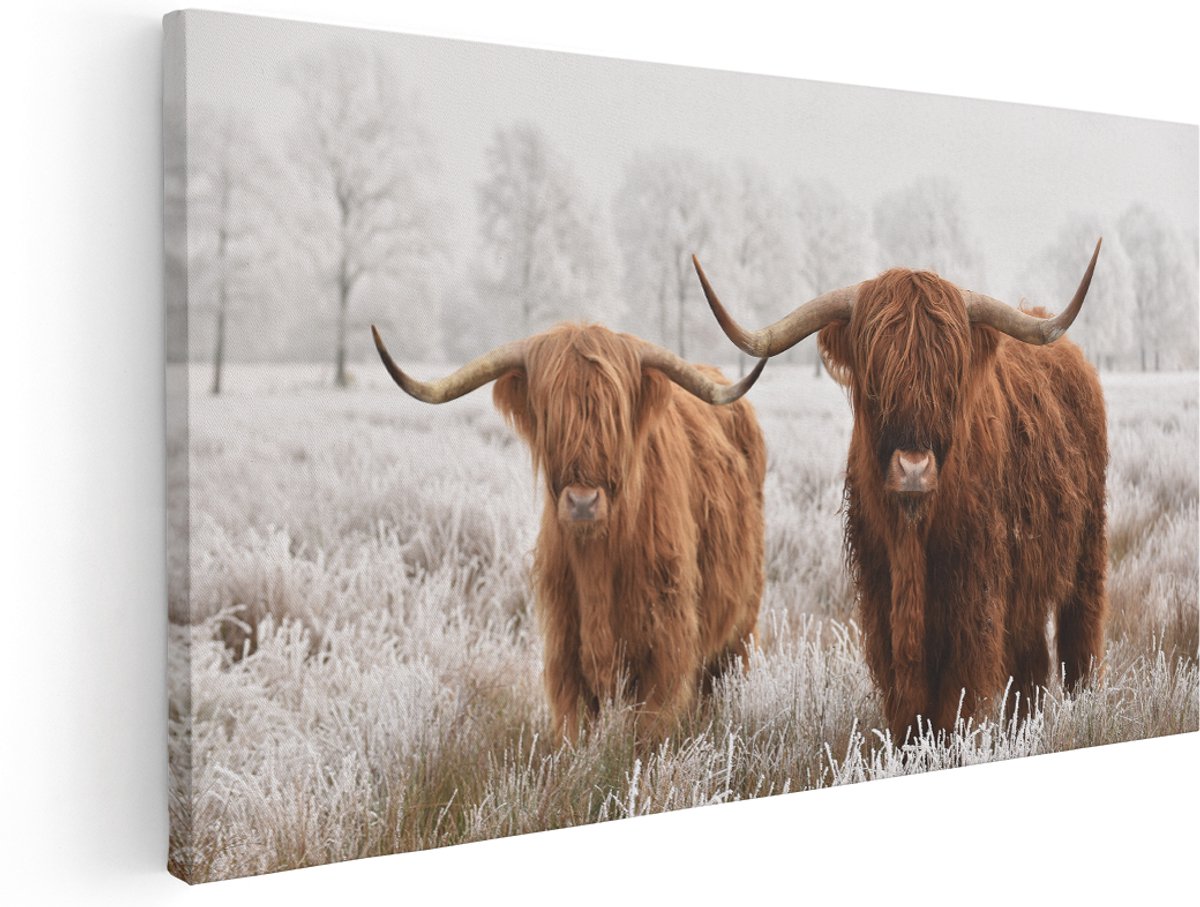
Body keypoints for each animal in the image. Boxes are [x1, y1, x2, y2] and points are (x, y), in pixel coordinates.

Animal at [372, 323, 768, 741]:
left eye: (615, 413)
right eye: (550, 413)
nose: (582, 502)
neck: (597, 559)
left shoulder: (665, 646)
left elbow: (649, 730)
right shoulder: (565, 648)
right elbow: (574, 731)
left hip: (742, 622)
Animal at [692, 241, 1107, 739]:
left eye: (951, 378)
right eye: (875, 379)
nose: (914, 469)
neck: (912, 534)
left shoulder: (975, 594)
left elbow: (958, 693)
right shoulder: (880, 593)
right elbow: (906, 695)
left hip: (1087, 551)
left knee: (1079, 638)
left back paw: (1083, 707)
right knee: (1031, 661)